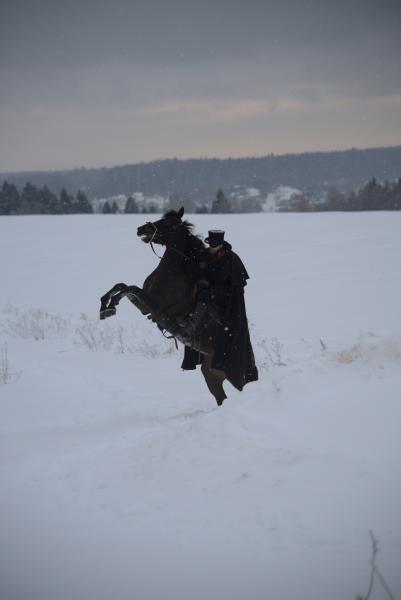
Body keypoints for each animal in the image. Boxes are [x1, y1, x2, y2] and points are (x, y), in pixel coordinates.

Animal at [99, 207, 230, 408]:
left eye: (170, 224)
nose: (141, 229)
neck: (171, 274)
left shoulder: (157, 308)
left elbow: (129, 288)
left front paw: (109, 306)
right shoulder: (145, 307)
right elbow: (122, 286)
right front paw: (106, 307)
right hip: (210, 373)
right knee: (220, 396)